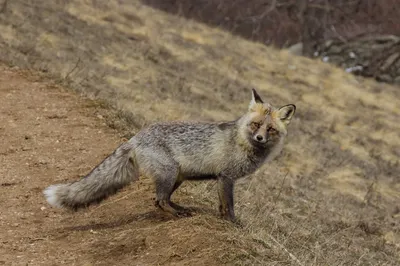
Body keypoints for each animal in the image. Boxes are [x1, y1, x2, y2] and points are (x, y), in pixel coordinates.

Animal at [43, 88, 296, 221]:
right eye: (255, 125)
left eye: (270, 129)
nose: (260, 138)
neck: (242, 141)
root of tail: (135, 137)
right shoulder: (226, 178)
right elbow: (229, 206)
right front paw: (232, 224)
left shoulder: (223, 179)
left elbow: (223, 205)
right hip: (169, 173)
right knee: (160, 200)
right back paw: (177, 214)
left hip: (178, 177)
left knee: (158, 200)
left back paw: (180, 209)